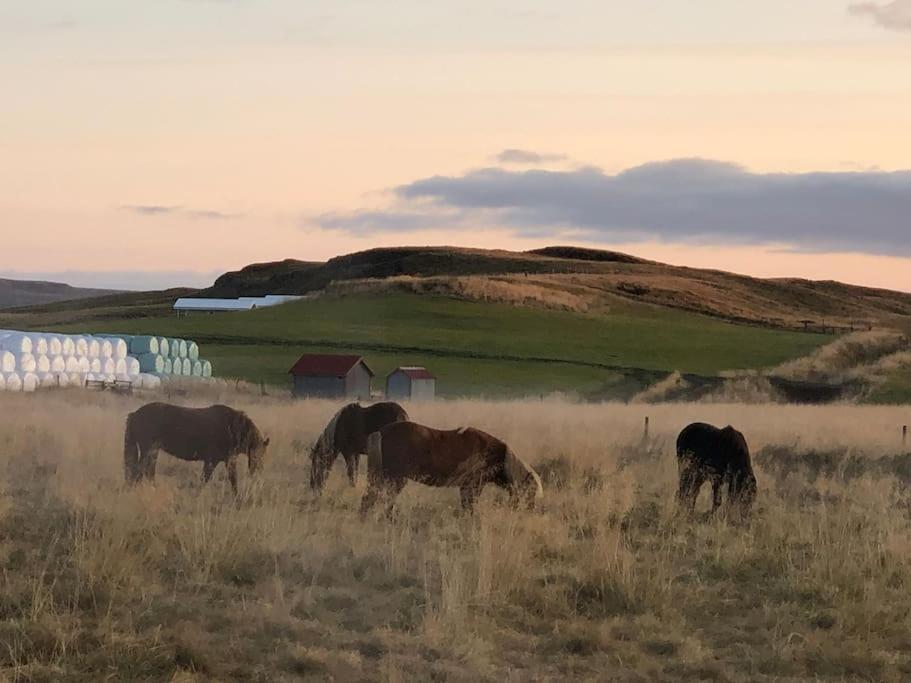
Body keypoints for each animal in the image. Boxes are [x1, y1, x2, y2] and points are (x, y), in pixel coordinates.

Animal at [123, 404, 268, 494]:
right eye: (256, 453)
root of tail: (135, 414)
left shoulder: (227, 461)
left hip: (153, 452)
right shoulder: (212, 461)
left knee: (147, 472)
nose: (256, 471)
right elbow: (206, 480)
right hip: (148, 451)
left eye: (263, 454)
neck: (231, 428)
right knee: (138, 471)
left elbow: (232, 480)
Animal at [356, 422, 540, 520]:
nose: (530, 512)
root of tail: (381, 432)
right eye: (531, 491)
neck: (498, 456)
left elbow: (467, 507)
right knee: (378, 500)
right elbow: (470, 507)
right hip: (393, 479)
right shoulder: (473, 485)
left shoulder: (466, 487)